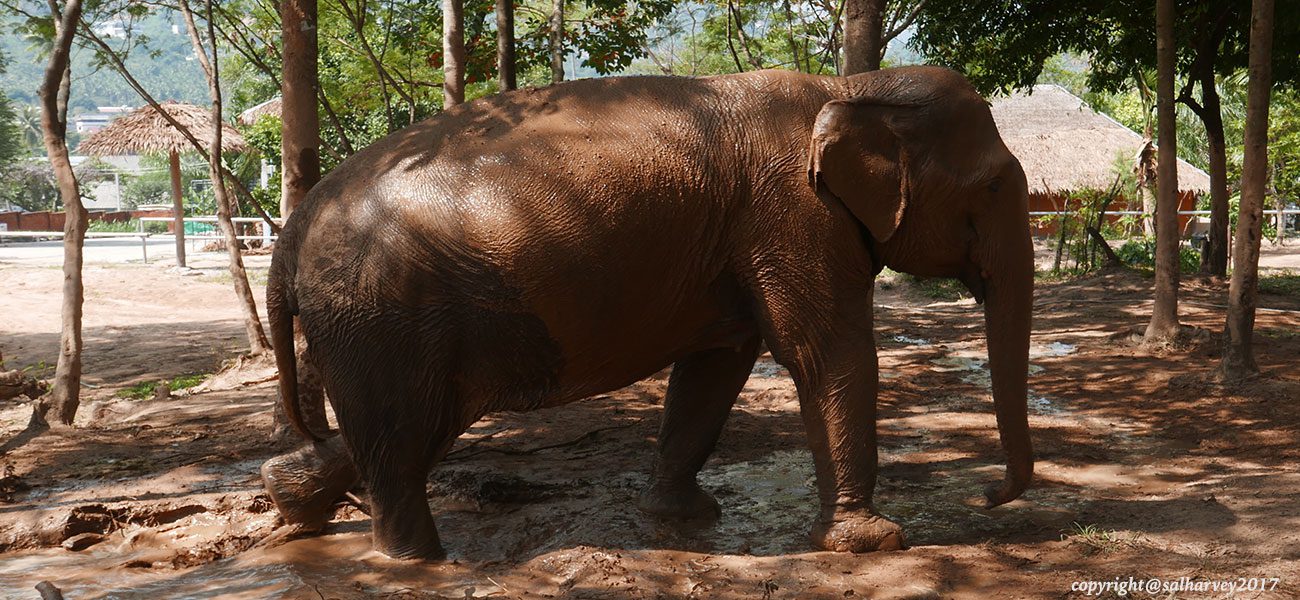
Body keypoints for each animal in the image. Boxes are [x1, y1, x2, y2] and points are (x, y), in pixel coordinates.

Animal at [259, 65, 1034, 561]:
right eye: (997, 186)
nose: (990, 498)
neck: (849, 88)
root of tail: (290, 233)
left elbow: (716, 367)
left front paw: (683, 519)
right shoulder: (794, 216)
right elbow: (826, 353)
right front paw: (874, 543)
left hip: (374, 324)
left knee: (407, 431)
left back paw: (290, 501)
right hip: (380, 315)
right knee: (404, 435)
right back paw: (417, 563)